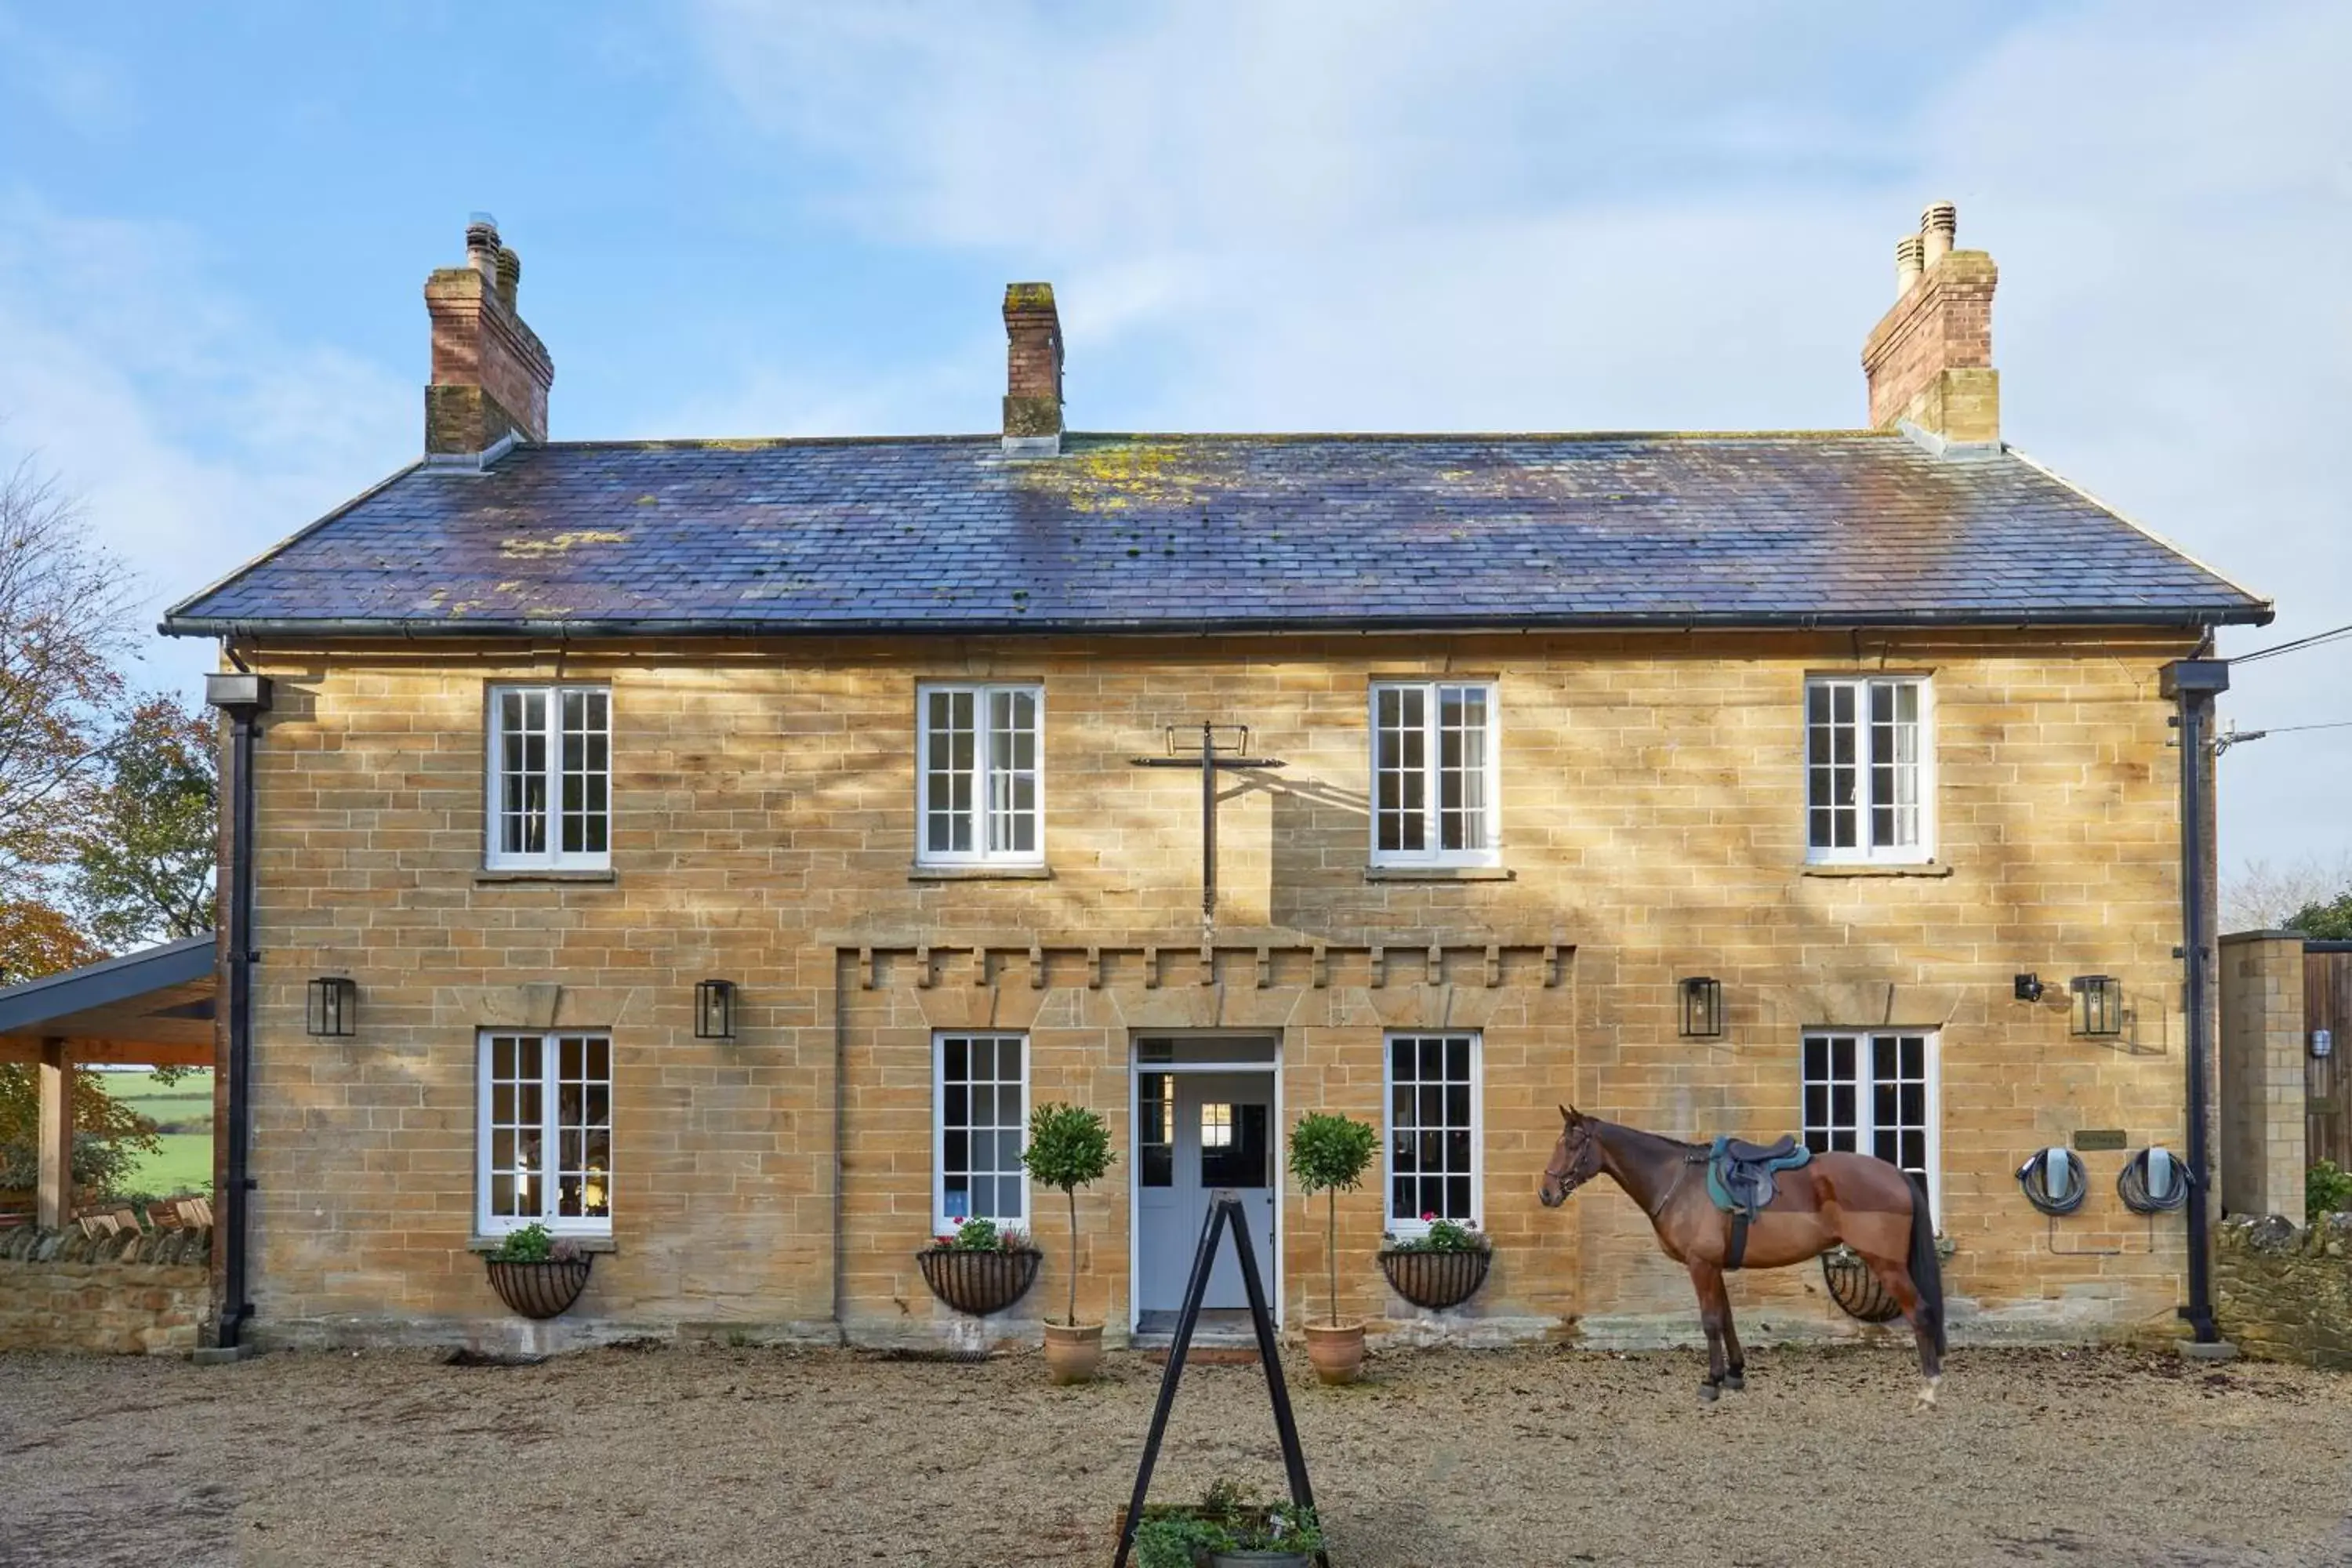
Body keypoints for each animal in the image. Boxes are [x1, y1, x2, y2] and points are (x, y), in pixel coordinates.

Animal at [1534, 1105, 1938, 1410]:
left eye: (1572, 1144)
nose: (1546, 1192)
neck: (1678, 1182)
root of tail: (1896, 1174)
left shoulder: (1701, 1265)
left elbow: (1711, 1321)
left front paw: (1711, 1382)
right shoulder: (1714, 1267)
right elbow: (1727, 1318)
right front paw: (1735, 1374)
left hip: (1886, 1264)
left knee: (1919, 1312)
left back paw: (1929, 1390)